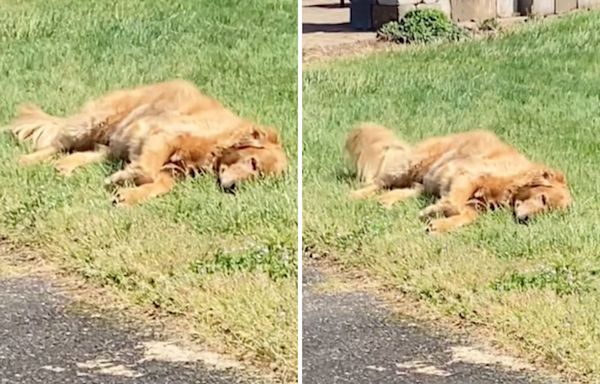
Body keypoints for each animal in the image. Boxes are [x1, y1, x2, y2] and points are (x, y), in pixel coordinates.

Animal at [6, 80, 288, 206]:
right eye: (253, 163)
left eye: (259, 179)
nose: (234, 189)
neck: (218, 143)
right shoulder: (163, 135)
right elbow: (147, 170)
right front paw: (122, 179)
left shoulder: (173, 170)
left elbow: (159, 185)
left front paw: (128, 194)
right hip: (94, 123)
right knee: (56, 143)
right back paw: (25, 161)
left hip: (111, 145)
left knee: (82, 154)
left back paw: (64, 168)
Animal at [346, 123, 572, 234]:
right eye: (543, 199)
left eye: (549, 213)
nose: (528, 220)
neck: (513, 182)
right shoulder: (466, 175)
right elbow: (454, 204)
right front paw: (435, 211)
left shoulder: (477, 205)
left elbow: (465, 216)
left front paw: (439, 224)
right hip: (411, 165)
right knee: (378, 182)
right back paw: (355, 196)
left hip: (424, 182)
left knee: (404, 190)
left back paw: (385, 201)